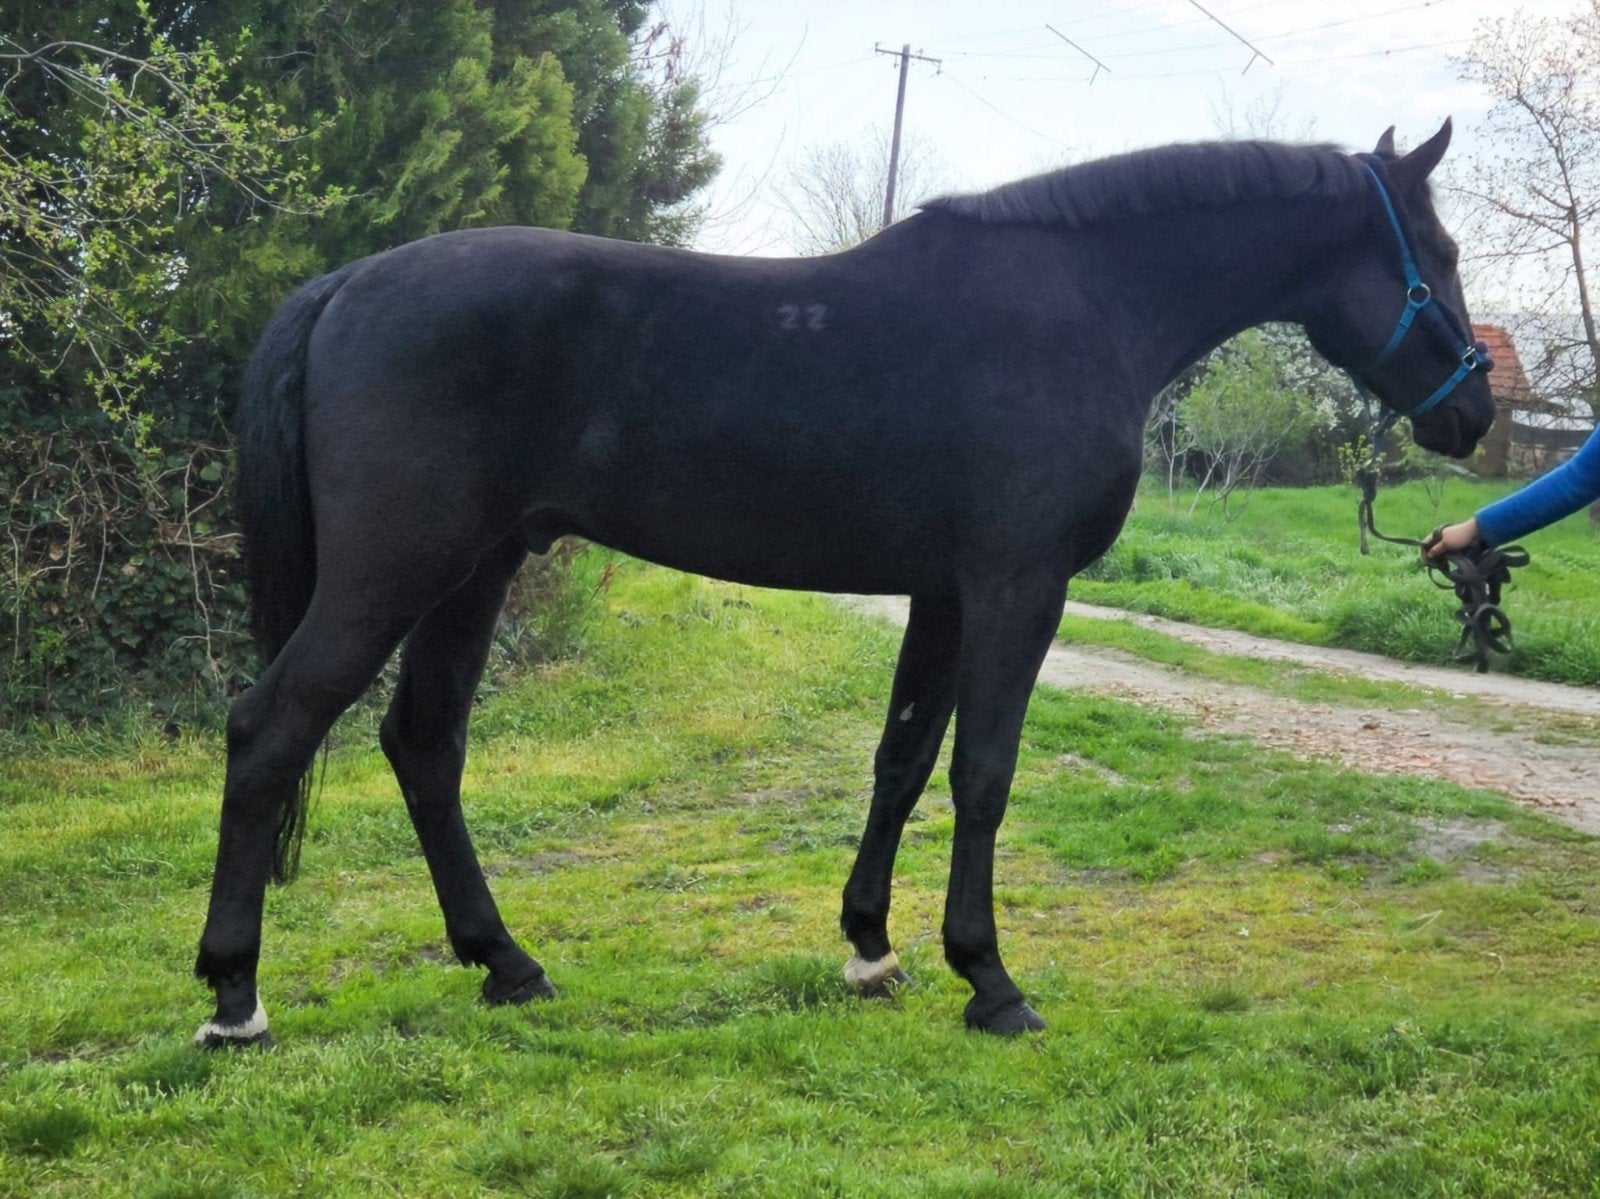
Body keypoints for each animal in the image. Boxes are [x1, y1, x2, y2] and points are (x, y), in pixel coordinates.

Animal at [194, 121, 1495, 1046]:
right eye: (1436, 255)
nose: (1475, 415)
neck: (1084, 305)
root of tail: (350, 283)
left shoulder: (945, 592)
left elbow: (904, 757)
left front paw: (872, 943)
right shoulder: (1016, 585)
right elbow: (982, 772)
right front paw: (992, 979)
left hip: (477, 570)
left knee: (423, 743)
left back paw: (507, 963)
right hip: (395, 570)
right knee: (269, 729)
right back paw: (233, 995)